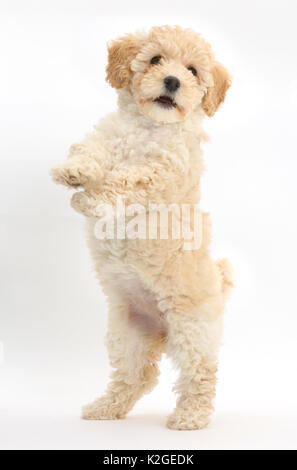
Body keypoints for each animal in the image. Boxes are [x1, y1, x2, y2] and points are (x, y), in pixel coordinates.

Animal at [51, 24, 232, 430]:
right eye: (155, 59)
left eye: (192, 71)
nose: (172, 81)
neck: (148, 126)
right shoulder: (107, 137)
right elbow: (91, 150)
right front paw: (73, 171)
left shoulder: (162, 171)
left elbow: (126, 180)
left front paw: (90, 200)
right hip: (127, 334)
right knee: (137, 376)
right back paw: (105, 408)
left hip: (191, 329)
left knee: (202, 374)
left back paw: (190, 417)